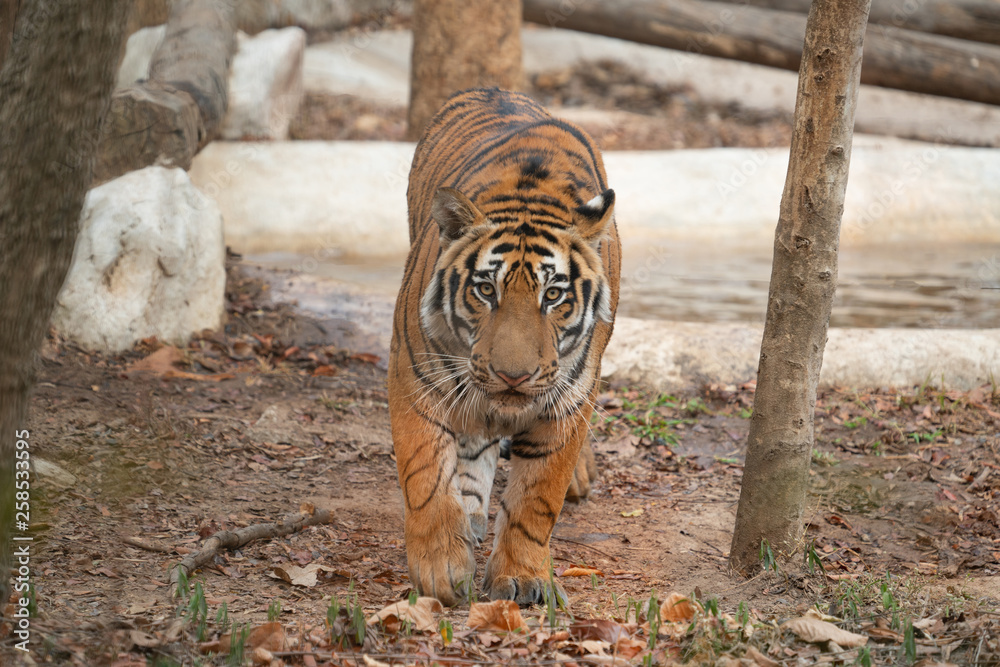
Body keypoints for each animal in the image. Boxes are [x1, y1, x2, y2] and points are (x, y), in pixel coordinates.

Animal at [388, 86, 616, 608]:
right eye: (486, 290)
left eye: (553, 295)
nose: (514, 376)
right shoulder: (415, 379)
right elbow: (425, 475)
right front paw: (441, 570)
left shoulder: (568, 403)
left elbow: (537, 500)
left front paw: (522, 577)